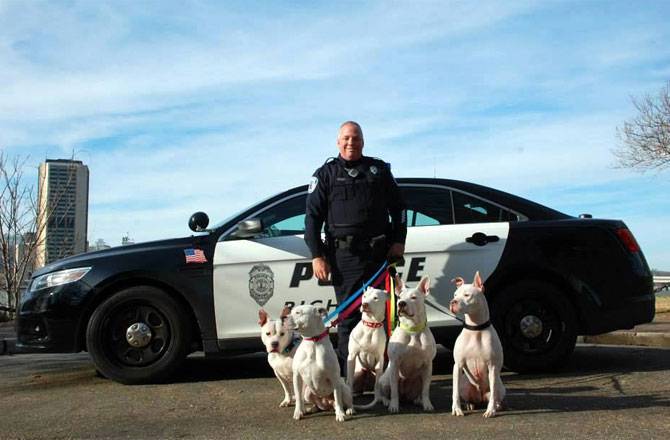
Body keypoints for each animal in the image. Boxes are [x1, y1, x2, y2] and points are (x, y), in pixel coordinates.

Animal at [364, 276, 438, 412]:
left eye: (414, 297)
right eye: (399, 297)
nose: (401, 303)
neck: (412, 329)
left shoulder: (428, 365)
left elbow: (425, 390)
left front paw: (427, 404)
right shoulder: (395, 364)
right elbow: (394, 391)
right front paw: (394, 405)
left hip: (419, 379)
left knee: (419, 391)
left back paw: (418, 400)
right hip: (385, 380)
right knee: (385, 393)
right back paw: (386, 401)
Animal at [454, 270, 506, 418]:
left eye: (467, 295)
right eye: (455, 295)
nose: (453, 302)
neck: (475, 328)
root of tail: (481, 396)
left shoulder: (492, 366)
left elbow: (493, 393)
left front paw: (490, 410)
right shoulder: (457, 365)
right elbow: (454, 392)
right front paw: (456, 409)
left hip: (501, 386)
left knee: (495, 394)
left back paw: (497, 406)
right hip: (465, 385)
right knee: (468, 397)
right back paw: (469, 404)